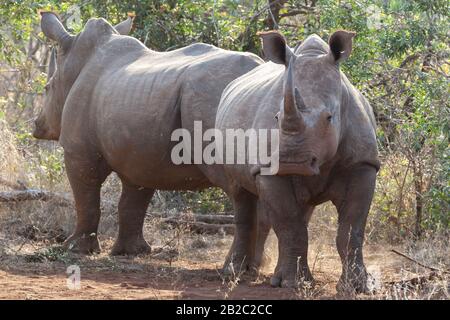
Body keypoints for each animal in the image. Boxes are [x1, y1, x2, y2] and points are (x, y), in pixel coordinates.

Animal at [35, 11, 262, 255]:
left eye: (46, 88)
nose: (37, 125)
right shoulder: (140, 154)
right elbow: (133, 202)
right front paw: (131, 251)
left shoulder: (79, 150)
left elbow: (85, 198)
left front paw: (74, 248)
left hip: (212, 97)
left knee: (240, 189)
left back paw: (237, 263)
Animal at [215, 30, 380, 292]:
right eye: (276, 117)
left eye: (329, 118)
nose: (291, 163)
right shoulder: (268, 169)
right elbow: (289, 225)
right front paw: (295, 284)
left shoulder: (363, 164)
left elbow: (351, 229)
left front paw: (358, 287)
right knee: (240, 194)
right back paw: (236, 273)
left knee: (301, 210)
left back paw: (266, 274)